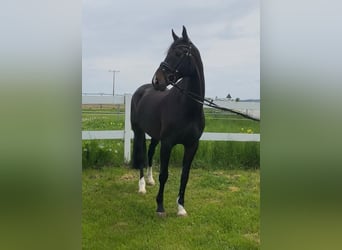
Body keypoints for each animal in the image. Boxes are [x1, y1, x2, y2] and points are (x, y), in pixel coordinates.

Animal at [131, 26, 206, 216]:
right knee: (141, 155)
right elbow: (164, 174)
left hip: (155, 135)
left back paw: (149, 180)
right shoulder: (168, 143)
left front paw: (181, 208)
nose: (157, 80)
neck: (187, 107)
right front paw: (160, 207)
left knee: (150, 153)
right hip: (138, 131)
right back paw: (142, 186)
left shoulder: (192, 145)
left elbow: (184, 176)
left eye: (178, 53)